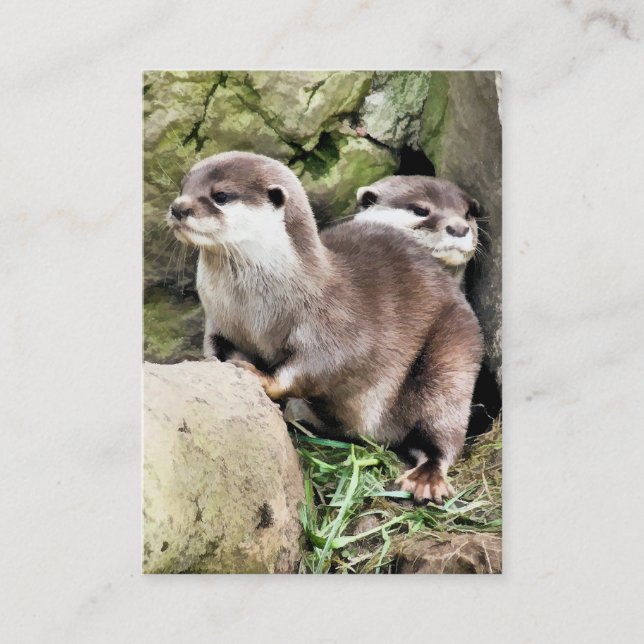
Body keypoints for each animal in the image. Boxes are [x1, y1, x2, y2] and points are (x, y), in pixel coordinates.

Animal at [167, 152, 483, 503]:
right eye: (183, 187)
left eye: (220, 196)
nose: (178, 207)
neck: (255, 309)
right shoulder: (219, 322)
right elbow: (216, 348)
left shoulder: (336, 322)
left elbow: (323, 365)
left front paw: (262, 377)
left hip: (451, 352)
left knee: (443, 425)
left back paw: (426, 477)